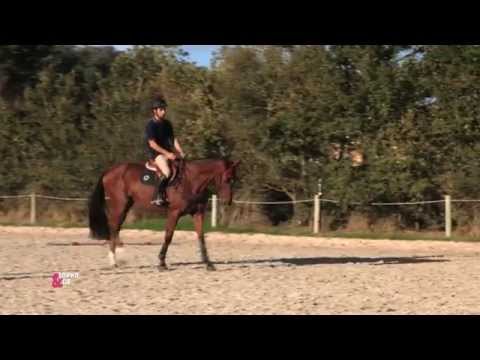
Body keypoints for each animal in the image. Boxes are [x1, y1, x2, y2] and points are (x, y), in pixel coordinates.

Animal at [87, 159, 239, 272]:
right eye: (227, 179)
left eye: (234, 179)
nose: (227, 201)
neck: (191, 182)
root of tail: (110, 171)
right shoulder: (174, 213)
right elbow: (168, 236)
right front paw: (161, 263)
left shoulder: (197, 213)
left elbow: (201, 237)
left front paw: (208, 263)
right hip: (119, 206)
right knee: (113, 227)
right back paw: (114, 260)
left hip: (126, 206)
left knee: (116, 228)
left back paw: (118, 255)